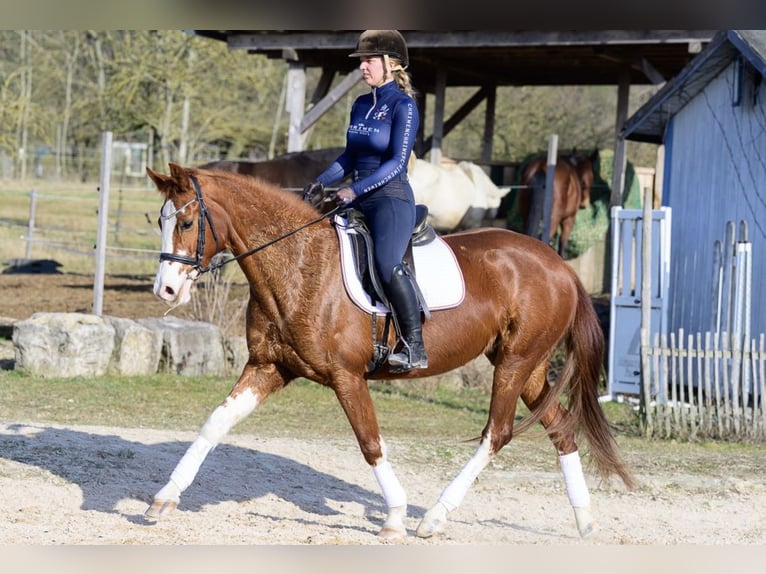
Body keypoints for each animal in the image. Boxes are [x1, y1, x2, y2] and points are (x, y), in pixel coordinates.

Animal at [142, 164, 636, 544]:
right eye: (161, 223)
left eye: (186, 224)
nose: (165, 290)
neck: (299, 262)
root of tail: (560, 266)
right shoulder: (269, 367)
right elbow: (214, 423)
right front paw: (164, 498)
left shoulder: (346, 377)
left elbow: (370, 442)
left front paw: (395, 517)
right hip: (526, 367)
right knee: (561, 429)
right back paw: (585, 521)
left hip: (515, 365)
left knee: (495, 434)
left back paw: (433, 518)